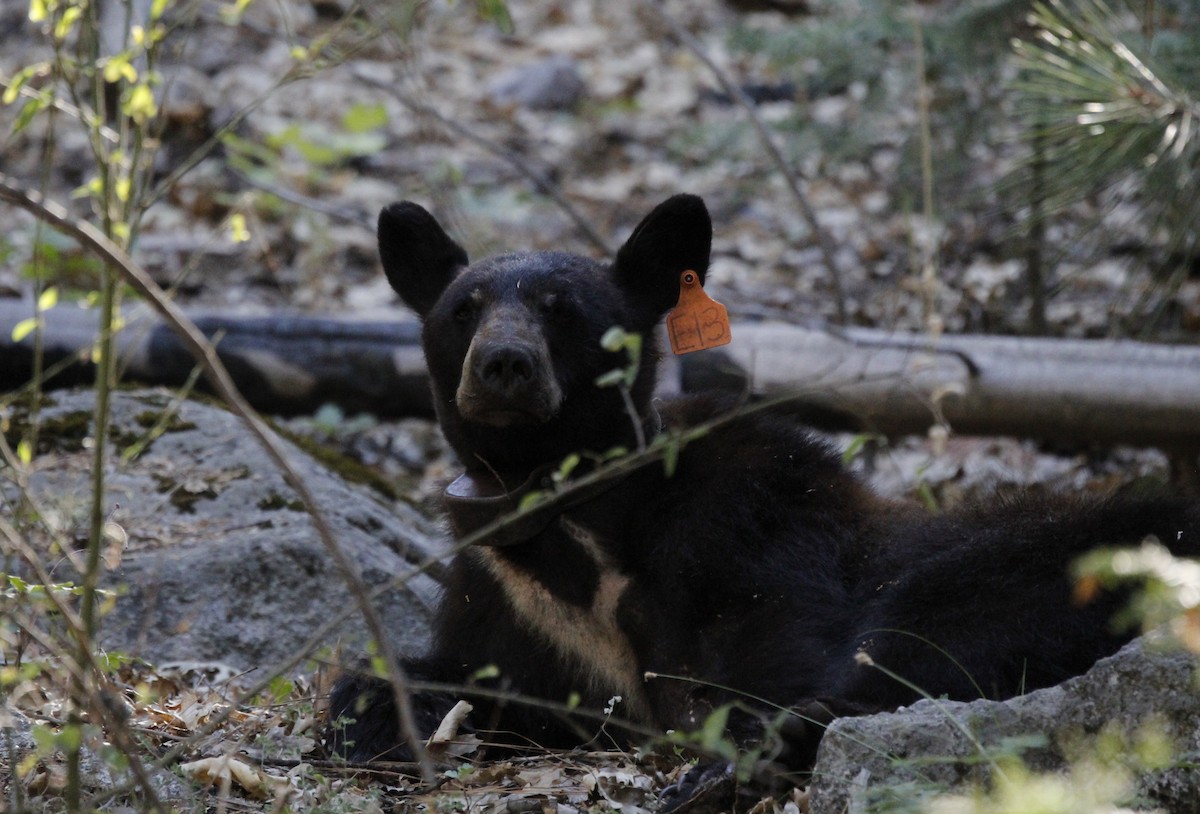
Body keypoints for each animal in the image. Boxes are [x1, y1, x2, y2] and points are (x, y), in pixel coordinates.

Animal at [326, 193, 1200, 778]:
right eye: (463, 310)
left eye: (564, 310)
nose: (504, 365)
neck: (572, 520)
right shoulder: (506, 606)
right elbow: (448, 679)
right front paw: (373, 719)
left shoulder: (752, 533)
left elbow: (776, 653)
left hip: (1039, 560)